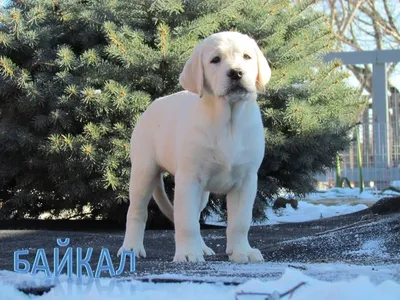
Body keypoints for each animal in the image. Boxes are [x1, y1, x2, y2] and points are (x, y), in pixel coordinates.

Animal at [117, 31, 270, 262]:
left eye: (246, 57)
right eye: (215, 60)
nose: (236, 73)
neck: (228, 121)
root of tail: (153, 104)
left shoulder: (246, 180)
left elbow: (240, 222)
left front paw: (242, 251)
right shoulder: (189, 179)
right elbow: (185, 222)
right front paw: (188, 254)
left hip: (202, 192)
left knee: (196, 216)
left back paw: (203, 247)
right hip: (144, 170)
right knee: (136, 212)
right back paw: (131, 248)